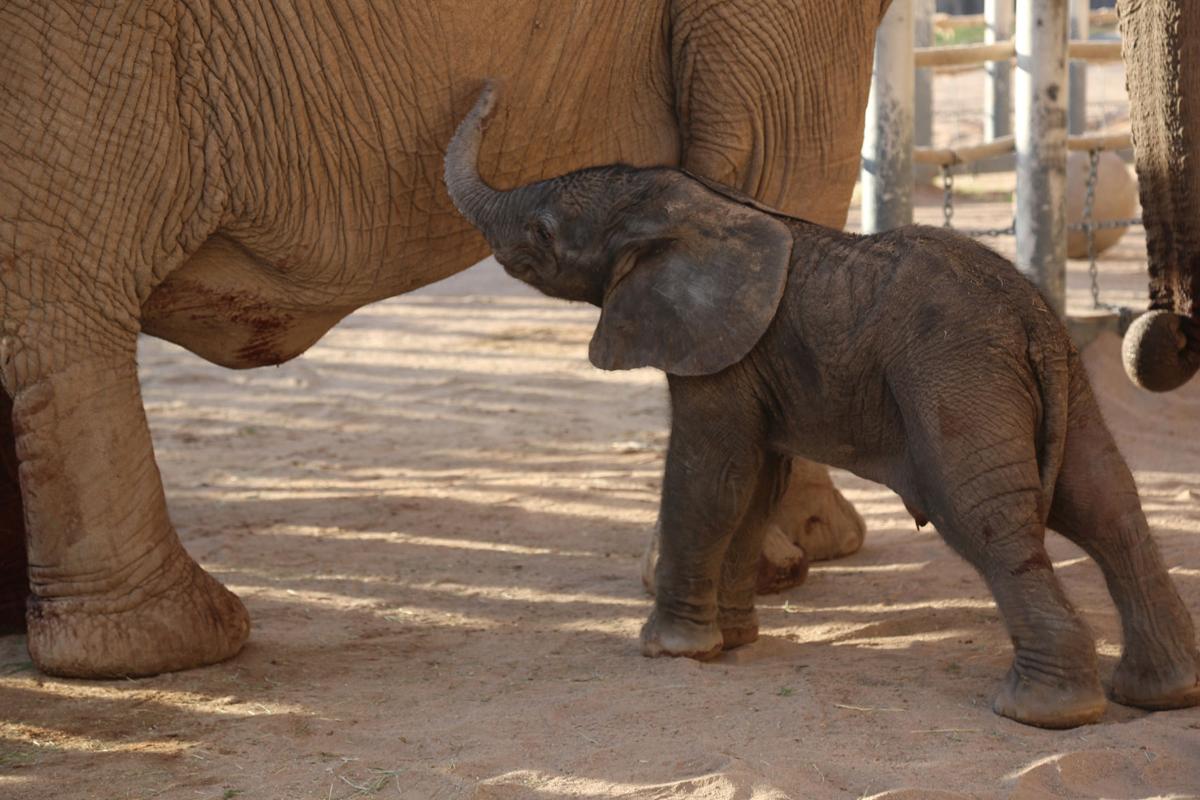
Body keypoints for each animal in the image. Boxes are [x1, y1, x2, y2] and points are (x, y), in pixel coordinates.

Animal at [0, 0, 883, 681]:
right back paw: (173, 648)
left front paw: (817, 548)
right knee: (65, 290)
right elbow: (777, 165)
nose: (489, 90)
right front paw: (786, 568)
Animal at [446, 84, 1200, 729]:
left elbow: (709, 476)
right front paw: (734, 642)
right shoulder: (757, 363)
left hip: (959, 379)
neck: (700, 207)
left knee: (988, 517)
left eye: (543, 233)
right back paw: (1162, 695)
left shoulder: (722, 351)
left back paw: (1042, 713)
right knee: (1106, 502)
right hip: (1063, 379)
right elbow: (755, 482)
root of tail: (1032, 321)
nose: (492, 88)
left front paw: (670, 651)